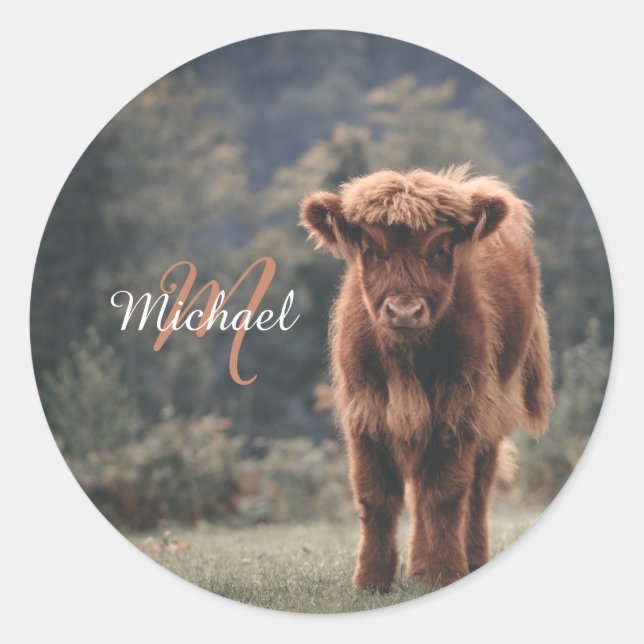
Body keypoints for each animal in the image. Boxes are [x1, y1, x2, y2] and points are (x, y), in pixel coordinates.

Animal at [299, 165, 553, 591]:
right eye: (371, 251)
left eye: (438, 251)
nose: (404, 311)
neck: (406, 361)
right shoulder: (365, 412)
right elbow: (375, 494)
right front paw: (370, 580)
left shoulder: (459, 408)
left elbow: (446, 494)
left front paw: (447, 572)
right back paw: (418, 566)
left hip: (494, 407)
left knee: (478, 486)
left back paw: (471, 558)